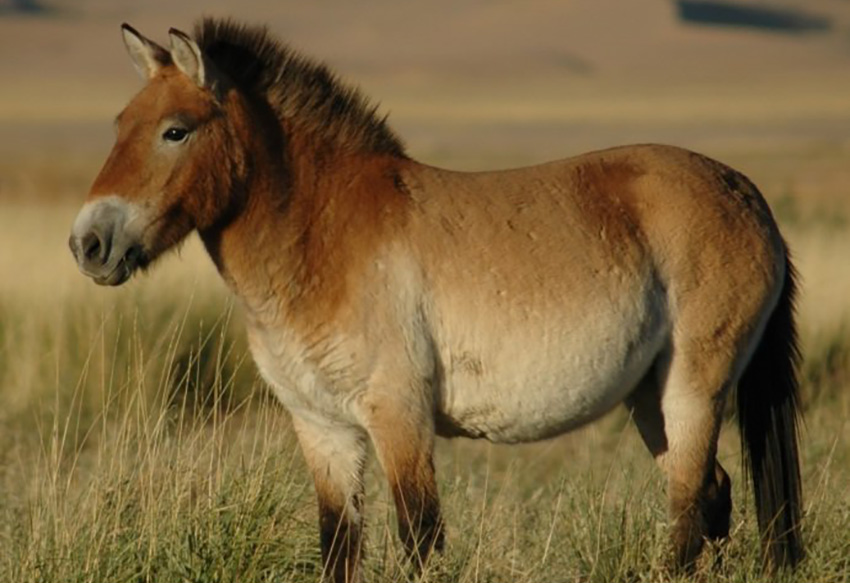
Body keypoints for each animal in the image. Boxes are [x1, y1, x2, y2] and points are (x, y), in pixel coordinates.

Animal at [68, 18, 800, 583]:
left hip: (694, 388)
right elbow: (338, 546)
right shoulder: (322, 428)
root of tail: (745, 192)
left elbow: (421, 540)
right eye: (118, 124)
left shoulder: (400, 416)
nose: (89, 243)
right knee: (711, 496)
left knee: (690, 511)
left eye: (175, 130)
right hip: (650, 398)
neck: (323, 237)